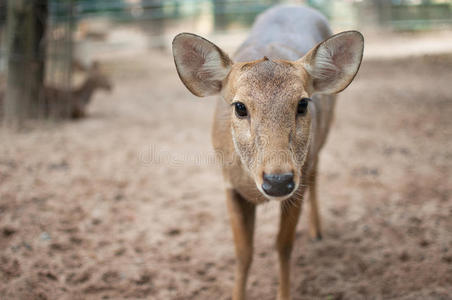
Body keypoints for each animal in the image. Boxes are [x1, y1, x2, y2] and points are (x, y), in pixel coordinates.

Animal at [170, 4, 364, 300]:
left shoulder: (298, 183)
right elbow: (243, 253)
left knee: (316, 174)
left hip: (319, 143)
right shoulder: (229, 185)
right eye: (239, 106)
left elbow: (283, 246)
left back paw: (317, 231)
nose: (278, 181)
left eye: (303, 103)